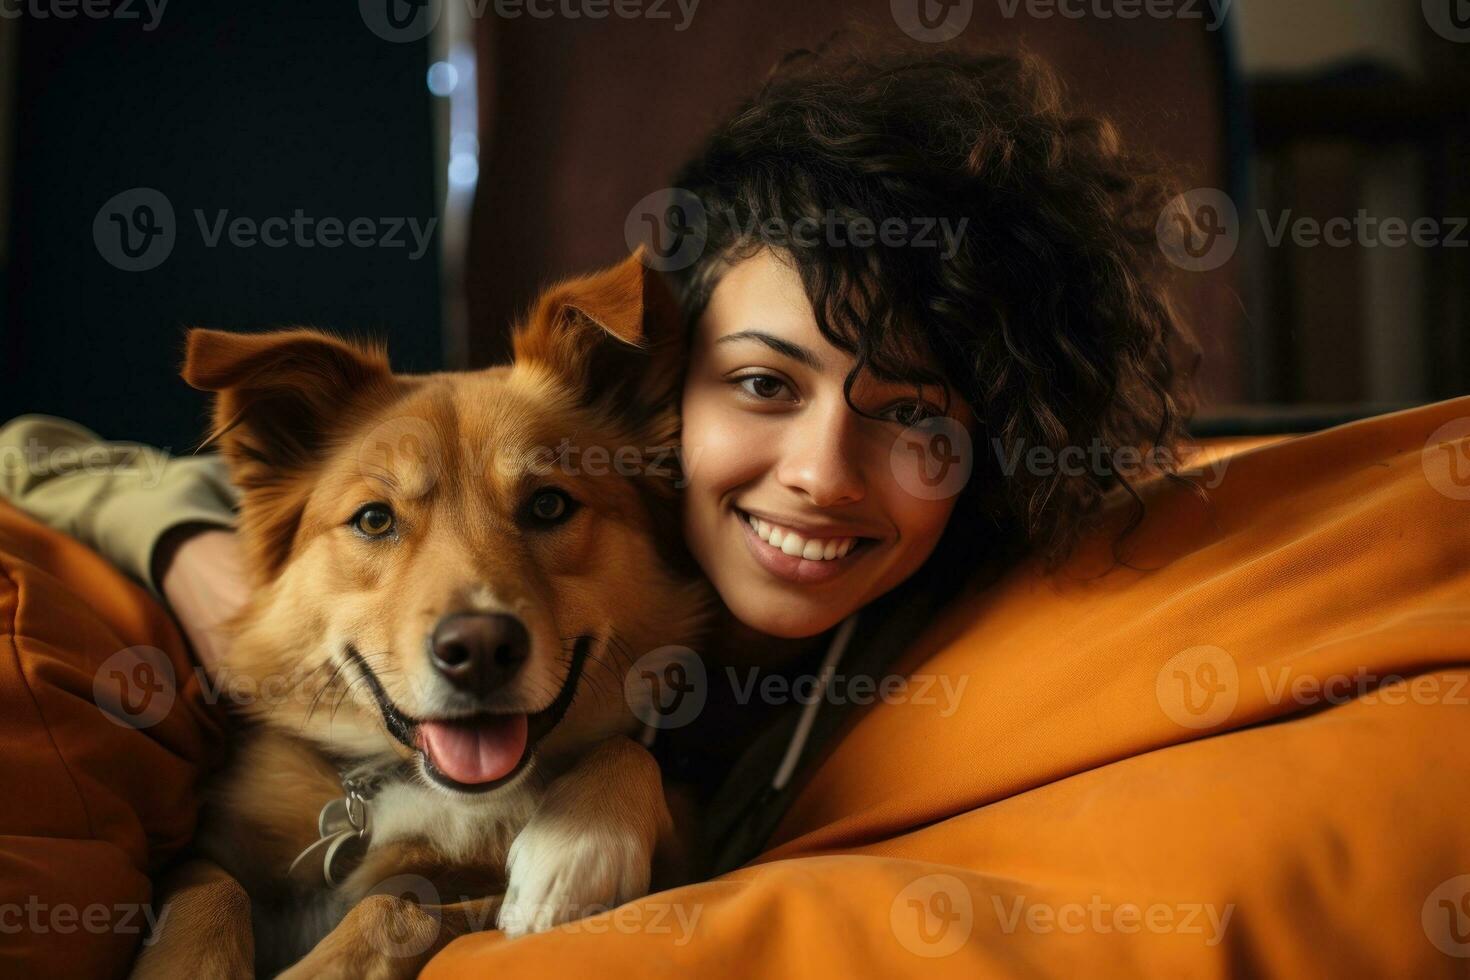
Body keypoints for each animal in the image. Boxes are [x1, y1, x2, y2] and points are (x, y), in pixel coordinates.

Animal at [129, 249, 714, 975]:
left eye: (549, 505)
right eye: (375, 520)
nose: (480, 650)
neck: (425, 789)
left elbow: (402, 905)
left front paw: (578, 844)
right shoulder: (211, 853)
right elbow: (206, 892)